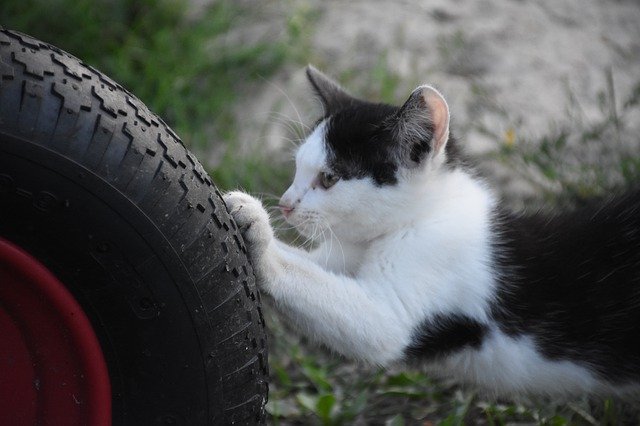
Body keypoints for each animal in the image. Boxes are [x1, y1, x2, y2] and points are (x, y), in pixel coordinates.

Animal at [224, 65, 640, 396]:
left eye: (328, 178)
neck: (420, 218)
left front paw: (259, 235)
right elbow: (310, 267)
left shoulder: (409, 295)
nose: (285, 203)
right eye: (297, 168)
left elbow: (372, 325)